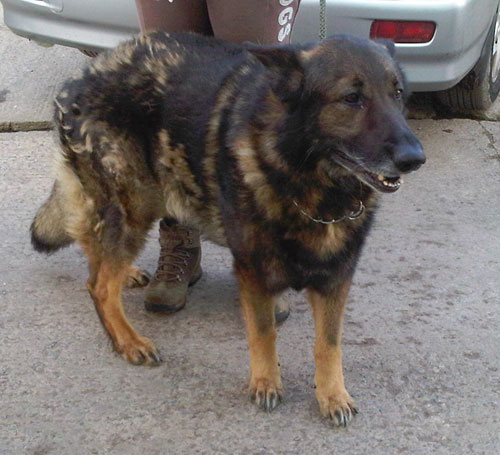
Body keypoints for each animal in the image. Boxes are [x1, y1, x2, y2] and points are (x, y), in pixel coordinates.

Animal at [30, 32, 422, 428]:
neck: (307, 182)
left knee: (95, 252)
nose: (415, 159)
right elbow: (263, 332)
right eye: (352, 98)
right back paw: (127, 340)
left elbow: (328, 344)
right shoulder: (254, 271)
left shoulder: (336, 277)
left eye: (397, 93)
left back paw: (125, 276)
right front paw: (265, 382)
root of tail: (80, 78)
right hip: (132, 207)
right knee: (99, 285)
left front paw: (332, 395)